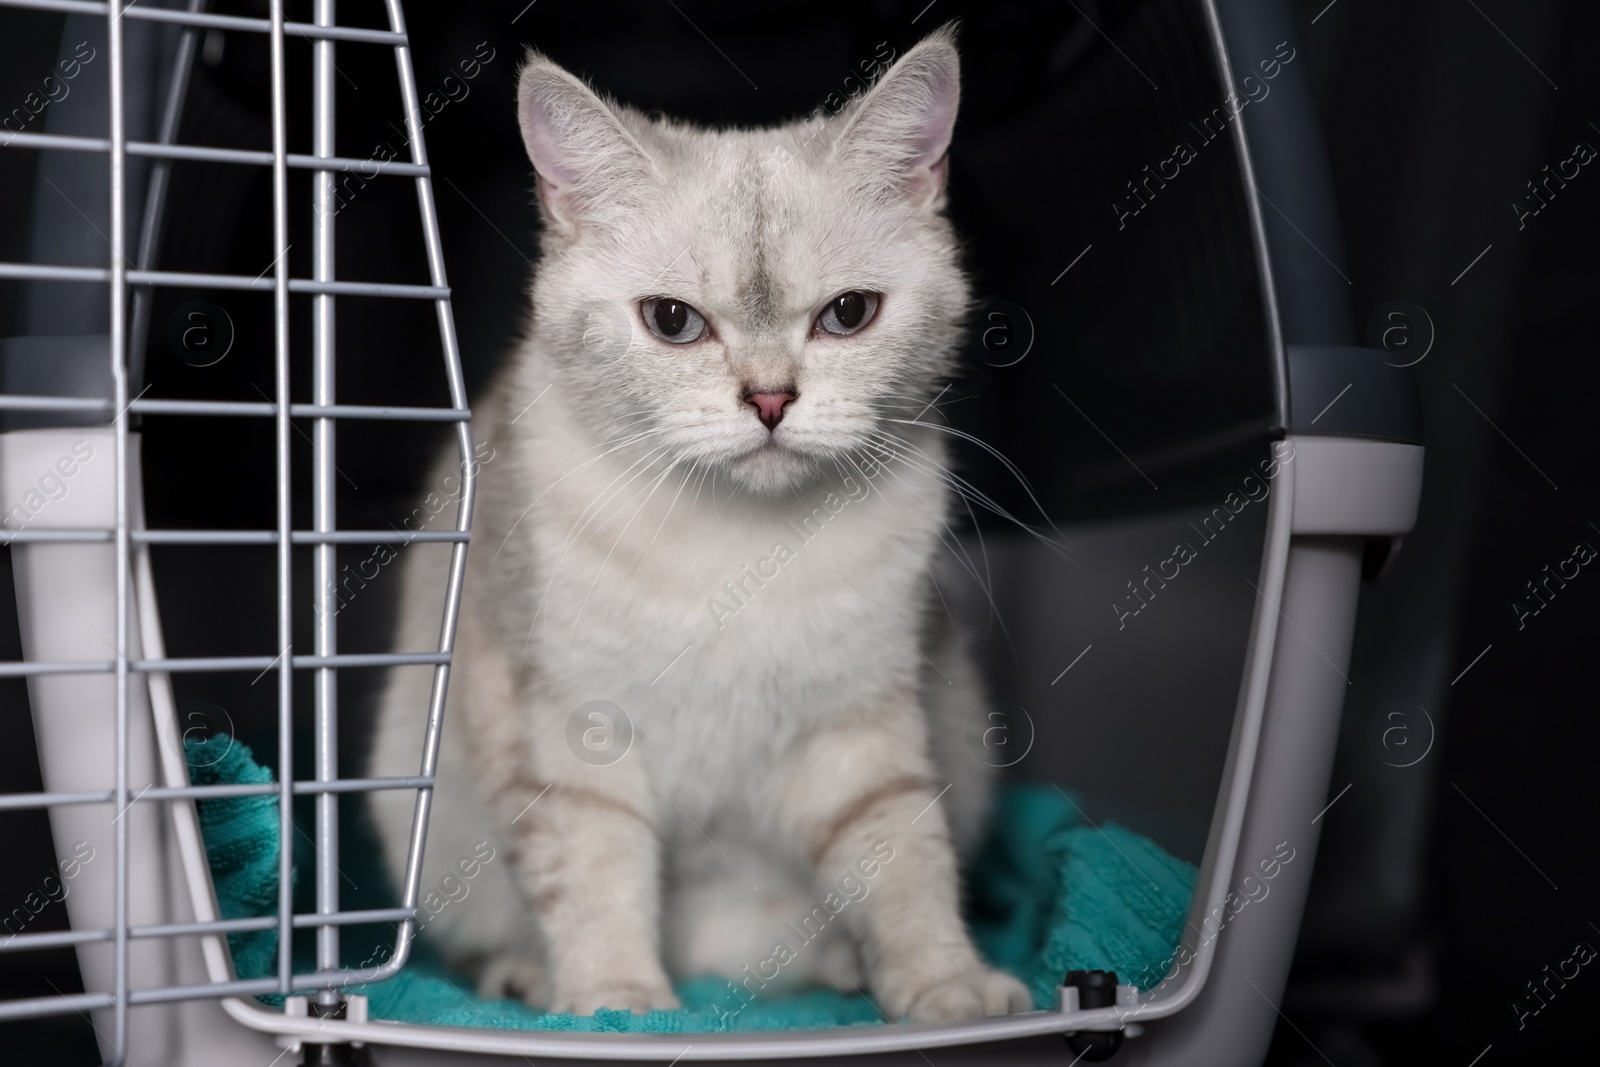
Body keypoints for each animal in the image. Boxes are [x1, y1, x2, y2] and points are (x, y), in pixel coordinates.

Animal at [368, 29, 1030, 1023]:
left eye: (849, 314)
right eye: (672, 322)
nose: (770, 399)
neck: (735, 545)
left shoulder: (860, 726)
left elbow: (903, 858)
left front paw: (943, 985)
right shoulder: (567, 728)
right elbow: (594, 874)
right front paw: (616, 1001)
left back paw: (840, 965)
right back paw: (531, 976)